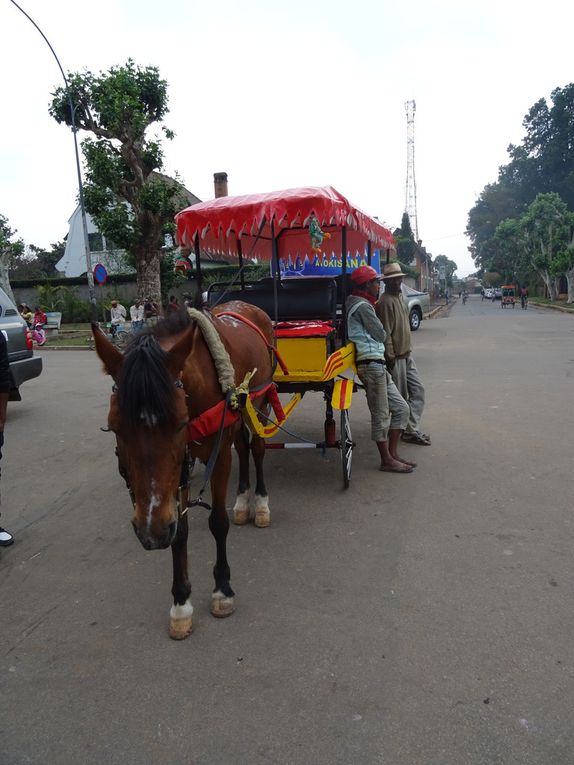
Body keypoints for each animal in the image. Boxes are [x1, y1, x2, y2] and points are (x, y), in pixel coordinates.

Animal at [91, 302, 274, 636]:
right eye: (114, 427)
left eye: (180, 423)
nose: (150, 533)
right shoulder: (178, 471)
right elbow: (180, 532)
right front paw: (180, 602)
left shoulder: (218, 454)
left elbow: (217, 522)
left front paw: (222, 589)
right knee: (243, 448)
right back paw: (243, 502)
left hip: (260, 401)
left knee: (255, 449)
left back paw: (261, 503)